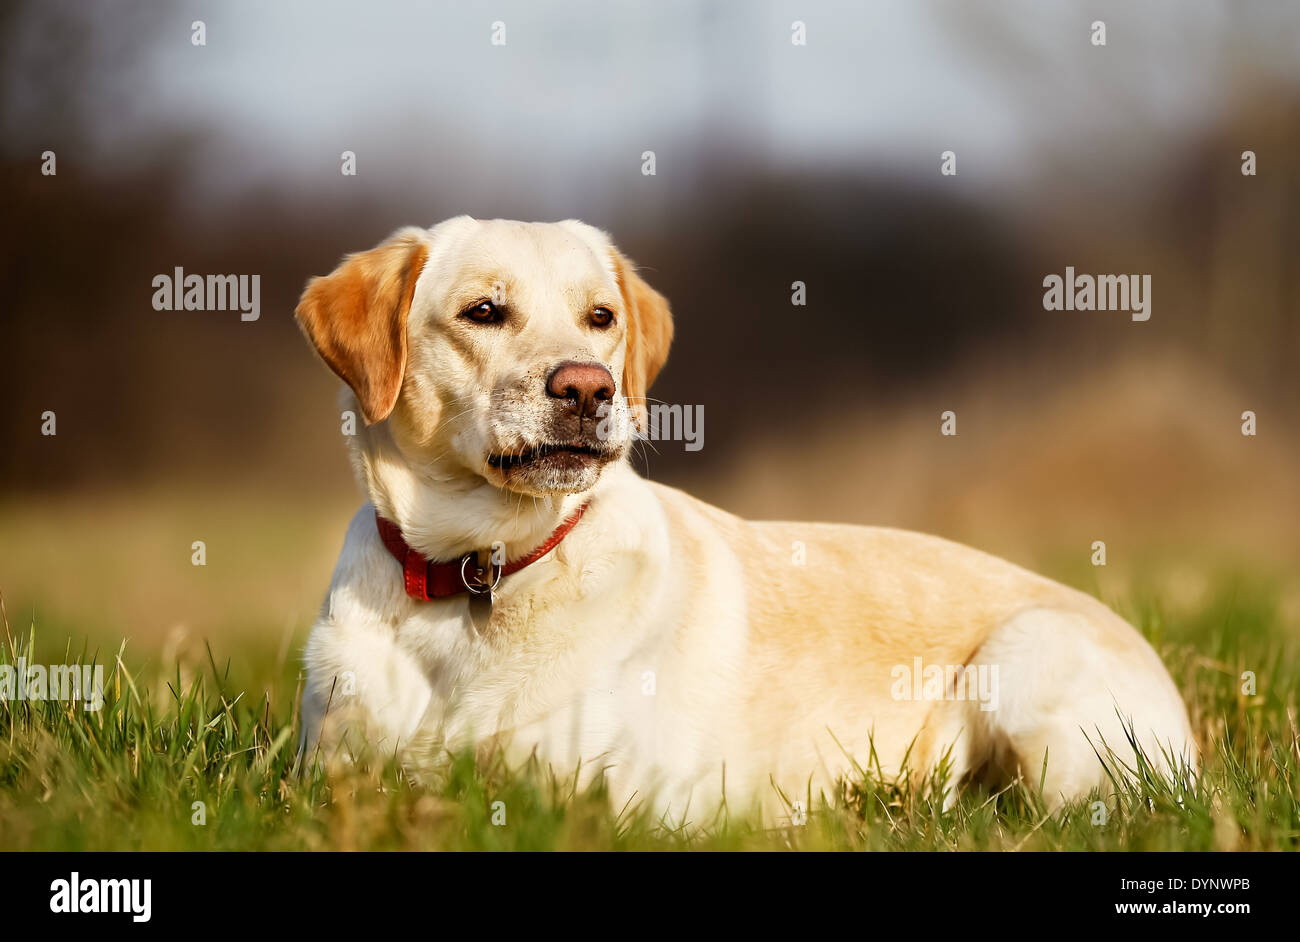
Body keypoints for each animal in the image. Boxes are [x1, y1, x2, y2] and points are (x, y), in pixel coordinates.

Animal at [297, 216, 1196, 821]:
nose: (590, 388)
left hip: (1027, 664)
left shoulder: (606, 796)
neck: (477, 569)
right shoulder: (328, 771)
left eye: (601, 318)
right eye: (483, 312)